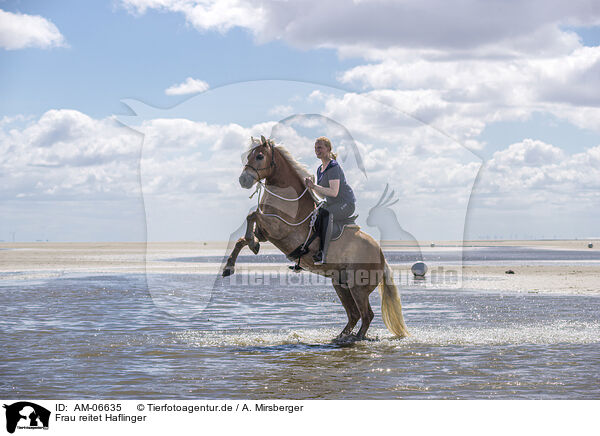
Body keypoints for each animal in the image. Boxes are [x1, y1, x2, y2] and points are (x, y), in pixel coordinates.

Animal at [223, 136, 410, 340]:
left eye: (259, 156)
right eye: (248, 155)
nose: (243, 180)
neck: (287, 198)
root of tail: (382, 256)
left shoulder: (279, 228)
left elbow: (252, 215)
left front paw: (251, 246)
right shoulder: (265, 233)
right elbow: (243, 237)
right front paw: (231, 265)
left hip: (358, 286)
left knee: (366, 315)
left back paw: (356, 339)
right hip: (340, 284)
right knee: (354, 314)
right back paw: (340, 337)